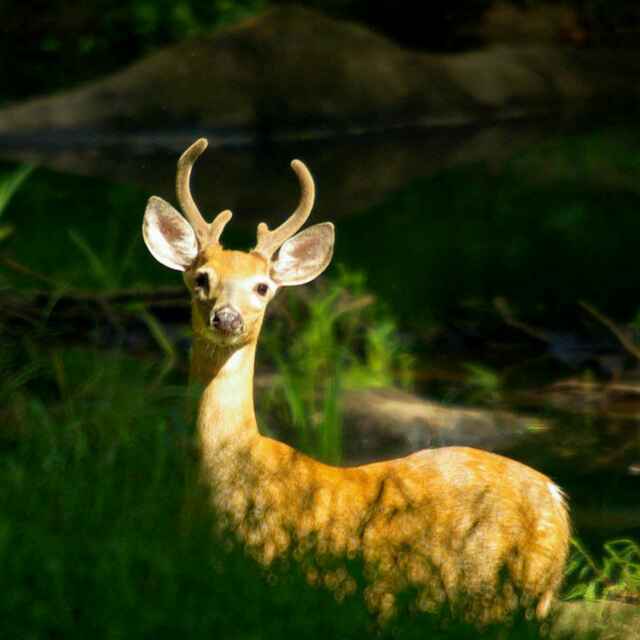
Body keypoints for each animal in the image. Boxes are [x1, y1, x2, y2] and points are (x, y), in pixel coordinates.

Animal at [141, 139, 568, 624]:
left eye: (263, 286)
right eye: (201, 278)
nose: (227, 318)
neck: (229, 477)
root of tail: (556, 496)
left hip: (509, 594)